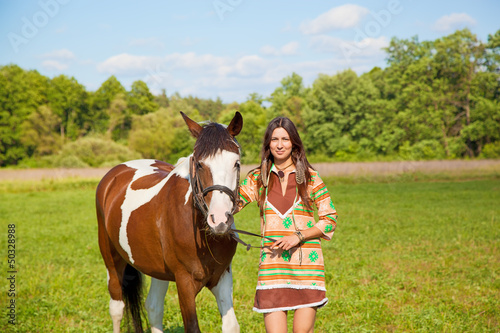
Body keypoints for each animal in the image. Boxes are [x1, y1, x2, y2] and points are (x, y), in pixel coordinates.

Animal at [96, 112, 244, 332]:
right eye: (199, 164)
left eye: (236, 163)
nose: (219, 219)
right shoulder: (184, 282)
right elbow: (192, 326)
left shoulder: (222, 277)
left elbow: (231, 326)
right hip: (111, 258)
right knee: (117, 307)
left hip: (157, 268)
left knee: (153, 307)